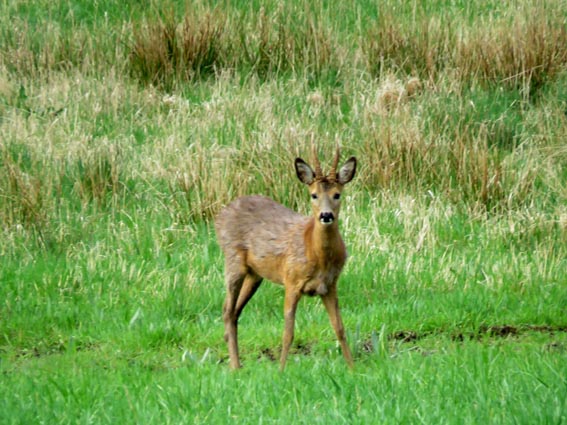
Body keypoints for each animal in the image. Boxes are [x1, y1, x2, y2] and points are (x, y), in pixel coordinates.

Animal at [215, 144, 358, 370]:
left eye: (337, 194)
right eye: (313, 195)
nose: (326, 215)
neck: (316, 253)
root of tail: (220, 215)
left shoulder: (330, 285)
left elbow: (340, 329)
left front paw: (352, 368)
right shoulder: (291, 280)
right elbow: (288, 333)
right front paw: (281, 370)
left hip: (255, 274)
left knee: (235, 310)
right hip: (232, 260)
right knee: (228, 310)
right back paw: (235, 366)